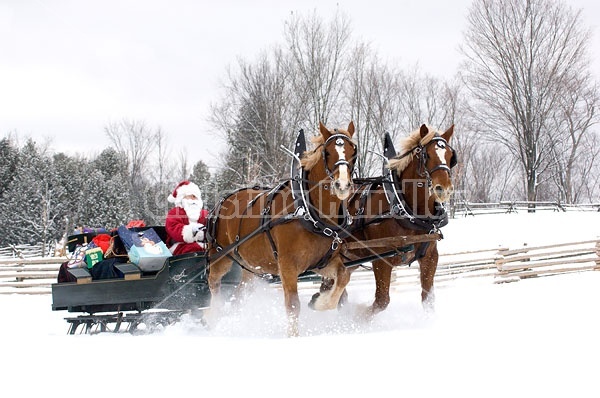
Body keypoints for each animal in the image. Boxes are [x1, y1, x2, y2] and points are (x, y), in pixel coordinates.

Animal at [206, 121, 356, 336]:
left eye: (354, 151)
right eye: (327, 152)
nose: (342, 185)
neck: (308, 211)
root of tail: (222, 201)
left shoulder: (322, 263)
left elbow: (343, 277)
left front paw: (320, 302)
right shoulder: (287, 265)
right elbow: (293, 305)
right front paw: (293, 336)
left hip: (251, 267)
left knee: (239, 294)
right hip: (220, 256)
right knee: (214, 283)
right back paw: (213, 316)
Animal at [332, 124, 454, 318]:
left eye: (451, 156)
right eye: (426, 155)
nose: (444, 188)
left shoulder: (430, 257)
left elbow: (428, 300)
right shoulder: (381, 260)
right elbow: (381, 301)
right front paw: (358, 317)